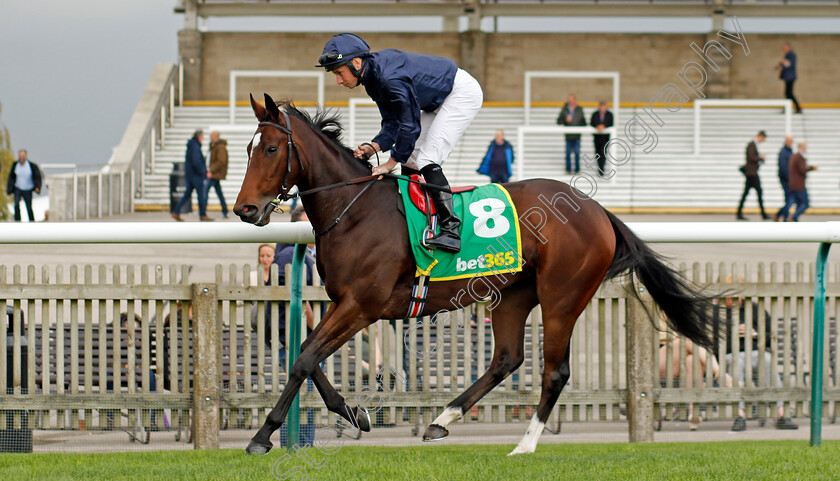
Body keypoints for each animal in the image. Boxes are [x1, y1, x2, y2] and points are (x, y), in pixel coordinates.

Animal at [235, 93, 716, 454]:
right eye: (247, 149)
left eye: (272, 149)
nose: (245, 209)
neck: (355, 210)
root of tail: (599, 211)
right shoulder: (344, 304)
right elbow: (307, 354)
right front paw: (355, 413)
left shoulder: (363, 306)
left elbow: (304, 359)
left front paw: (263, 435)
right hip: (513, 294)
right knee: (506, 359)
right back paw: (441, 419)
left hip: (562, 295)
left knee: (554, 371)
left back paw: (524, 445)